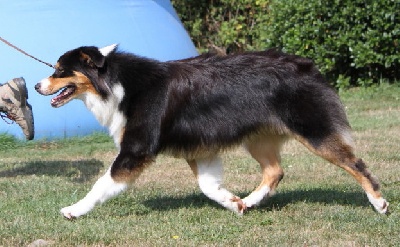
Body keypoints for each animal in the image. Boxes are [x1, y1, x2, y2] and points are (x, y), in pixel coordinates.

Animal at [36, 44, 390, 218]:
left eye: (60, 70)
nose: (38, 86)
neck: (116, 83)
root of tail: (306, 65)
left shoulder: (136, 149)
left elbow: (101, 185)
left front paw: (73, 210)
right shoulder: (199, 145)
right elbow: (208, 186)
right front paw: (233, 204)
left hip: (314, 132)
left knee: (355, 164)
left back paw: (379, 203)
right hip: (257, 138)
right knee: (275, 171)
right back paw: (250, 201)